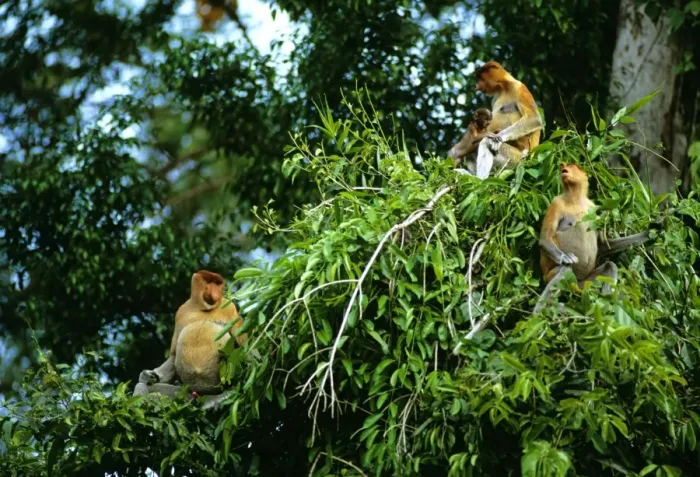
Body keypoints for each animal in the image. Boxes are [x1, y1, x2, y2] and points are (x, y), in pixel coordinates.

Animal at [134, 270, 246, 410]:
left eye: (217, 283)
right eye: (210, 282)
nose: (216, 292)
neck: (201, 308)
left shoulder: (230, 307)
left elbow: (244, 344)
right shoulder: (181, 311)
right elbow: (173, 355)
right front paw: (147, 375)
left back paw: (221, 398)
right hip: (185, 395)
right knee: (143, 386)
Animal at [533, 163, 652, 313]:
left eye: (571, 165)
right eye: (564, 166)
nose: (562, 167)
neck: (575, 198)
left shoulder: (593, 207)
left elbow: (603, 245)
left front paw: (649, 232)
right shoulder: (556, 203)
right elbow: (545, 238)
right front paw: (566, 257)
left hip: (585, 284)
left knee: (610, 266)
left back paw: (606, 300)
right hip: (550, 276)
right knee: (565, 269)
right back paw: (540, 310)